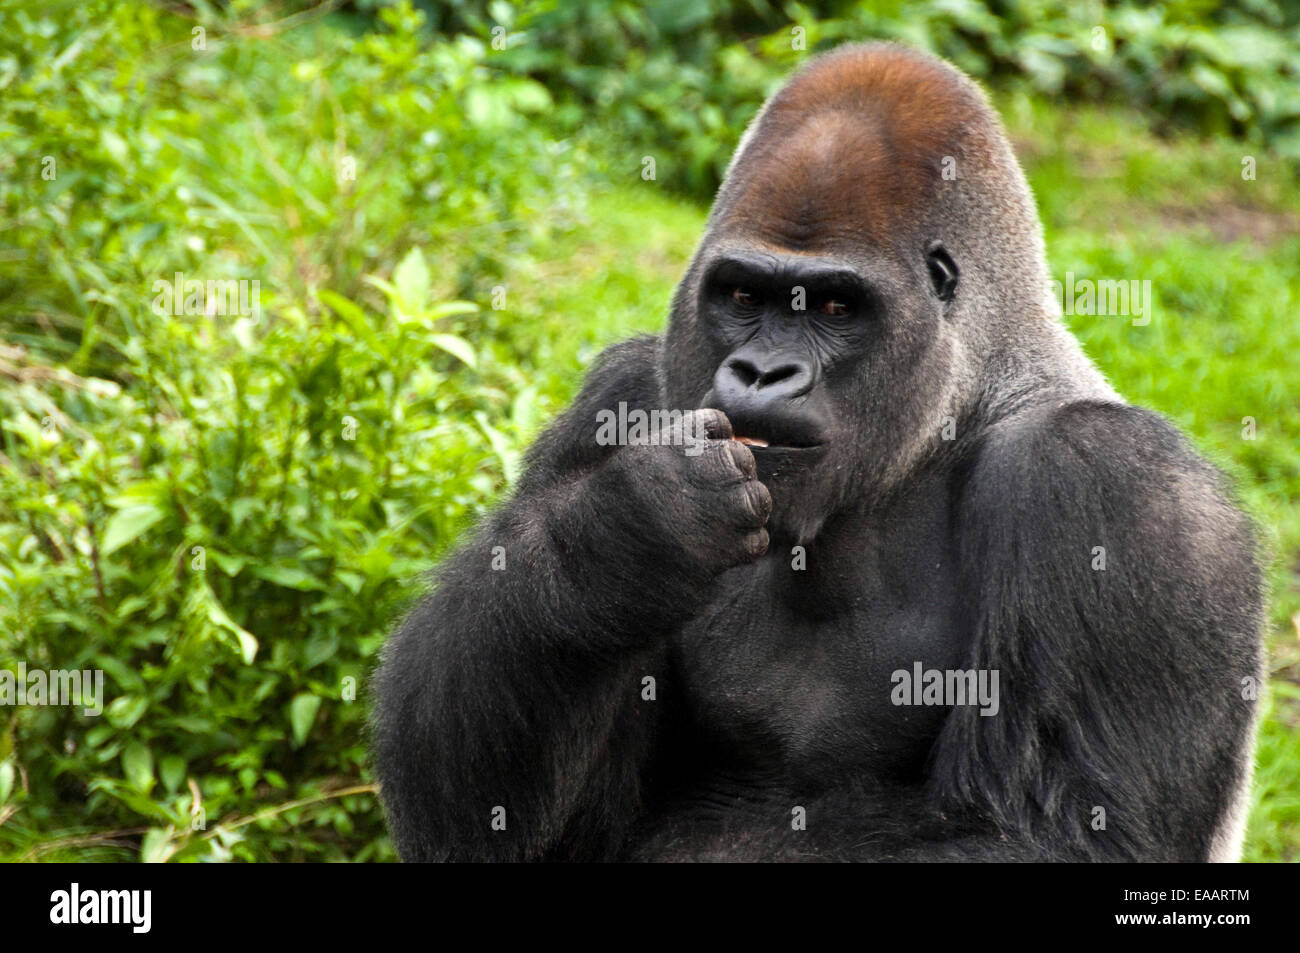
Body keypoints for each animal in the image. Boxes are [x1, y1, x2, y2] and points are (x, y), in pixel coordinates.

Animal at [374, 42, 1258, 863]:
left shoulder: (1110, 481)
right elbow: (491, 817)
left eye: (834, 306)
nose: (762, 372)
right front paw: (622, 535)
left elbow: (1063, 832)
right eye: (742, 295)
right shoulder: (619, 395)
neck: (956, 406)